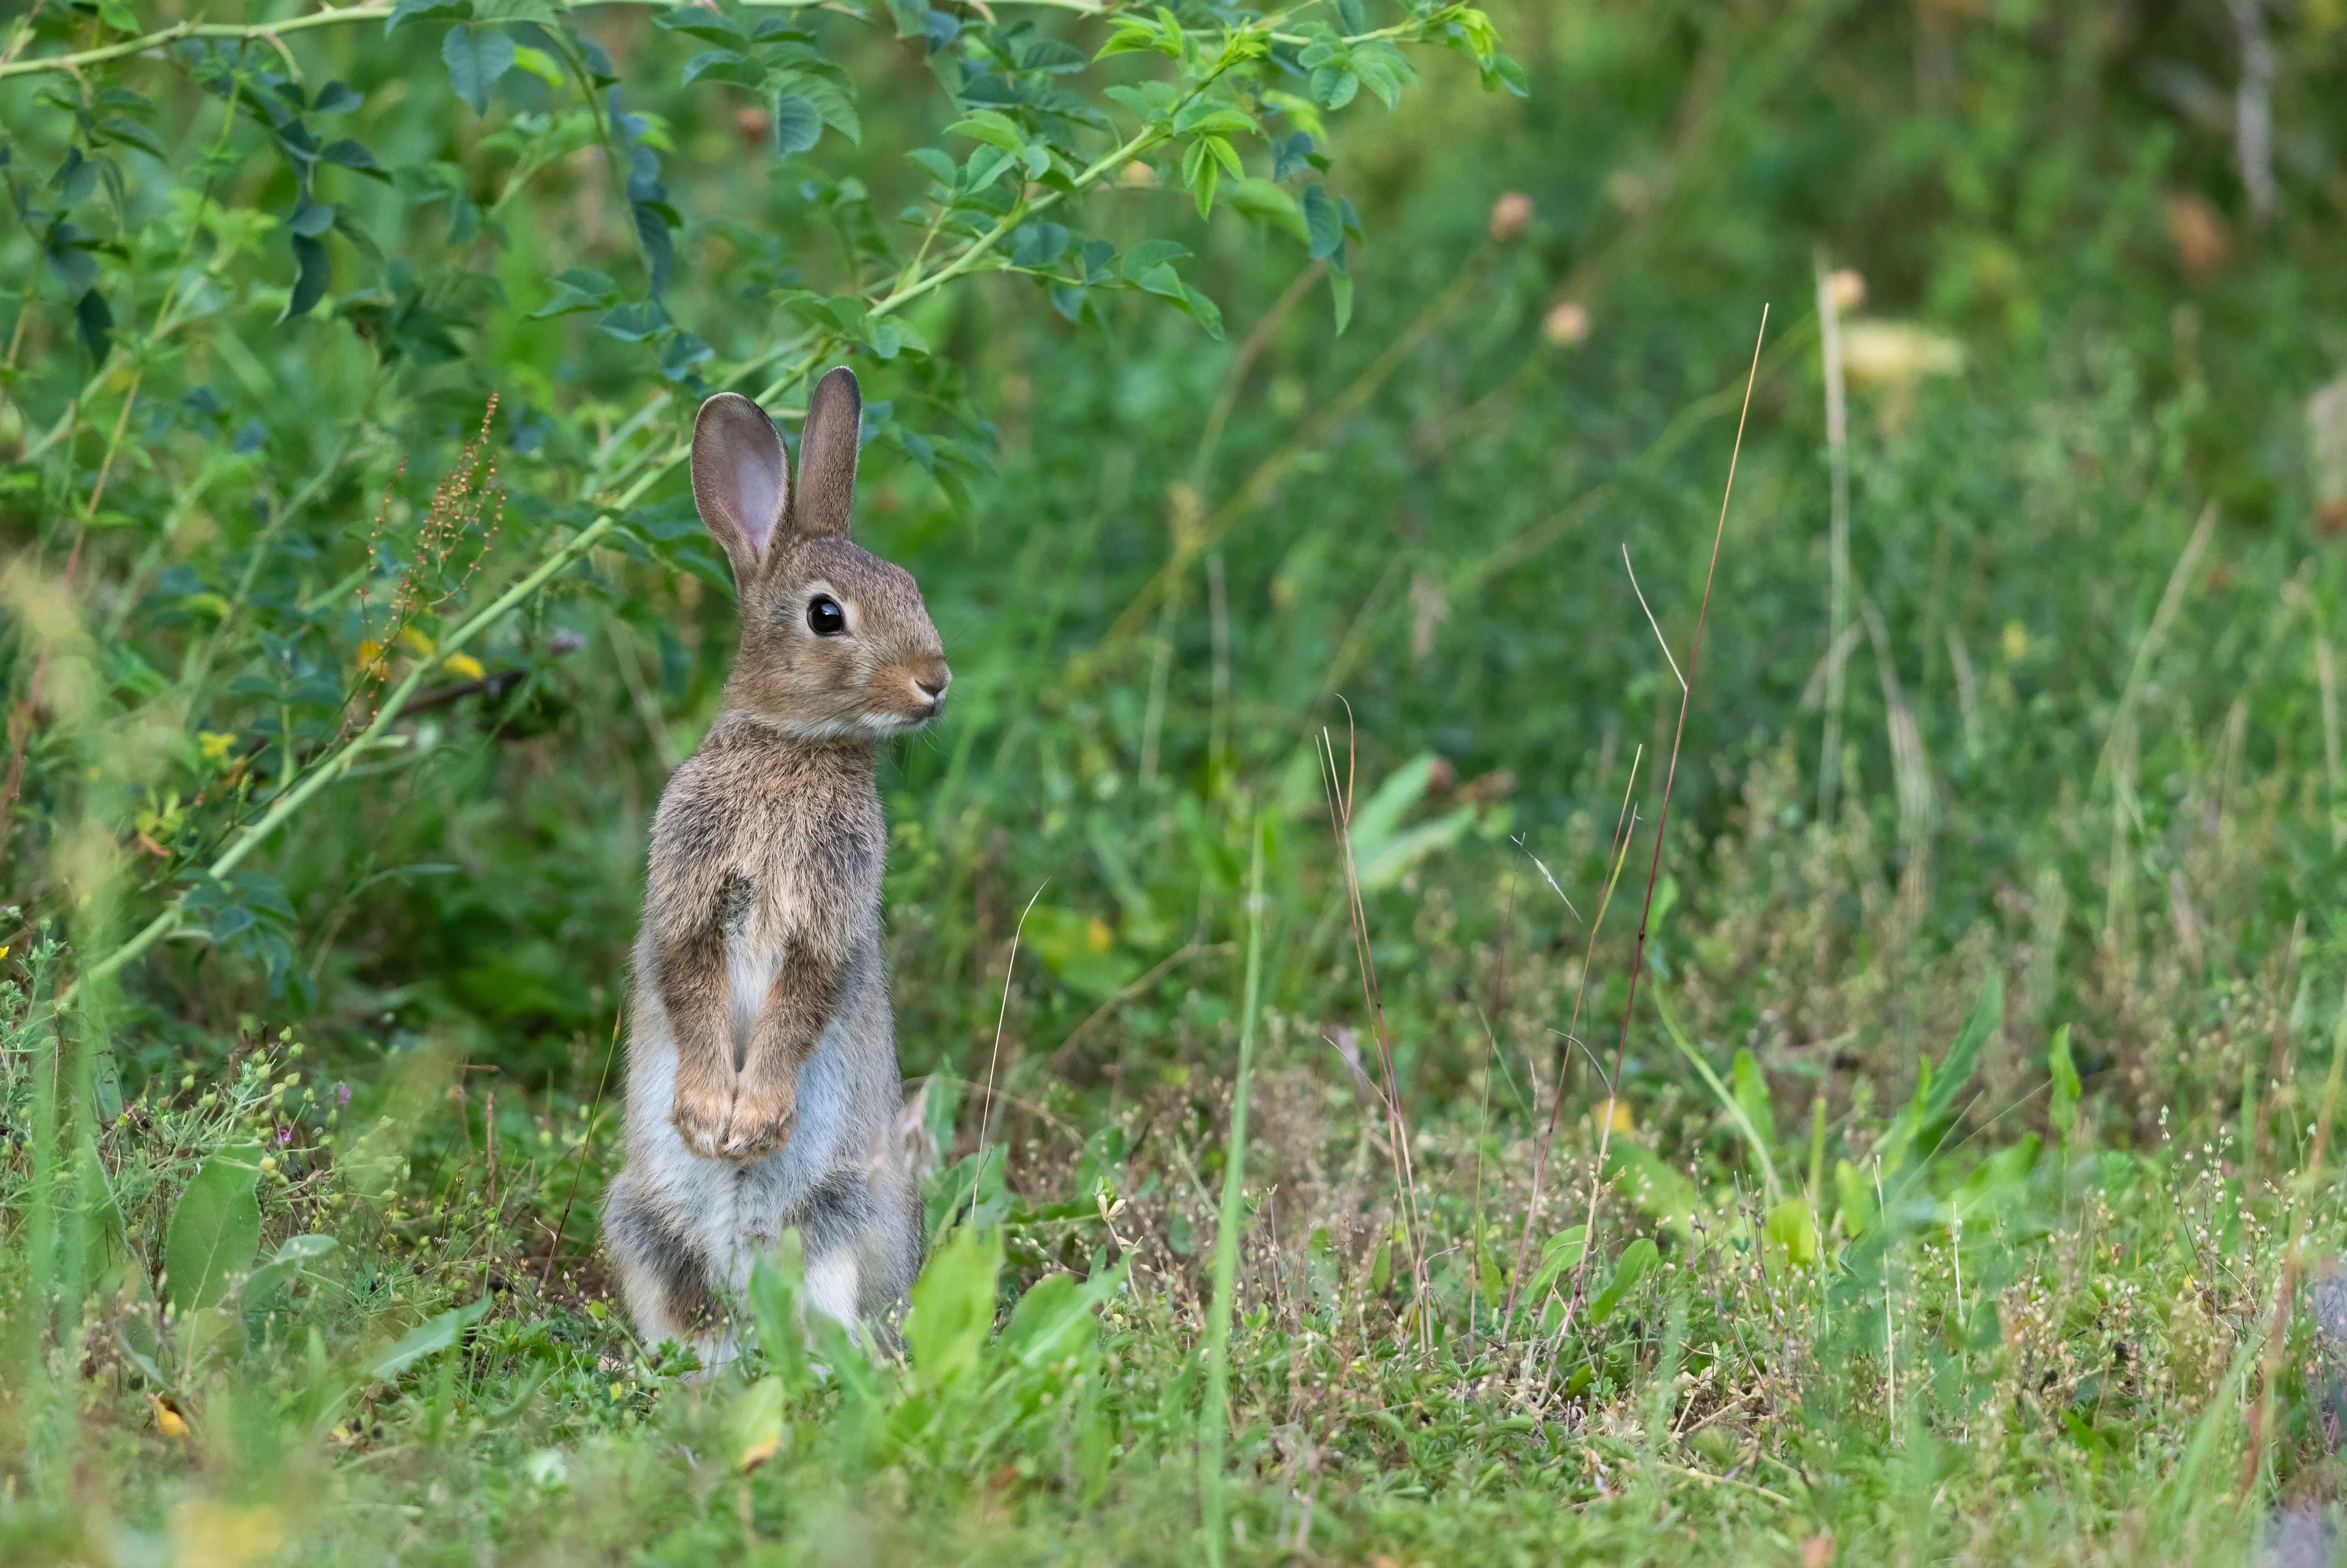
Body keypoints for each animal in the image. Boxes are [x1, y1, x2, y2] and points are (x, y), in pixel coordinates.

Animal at [601, 366, 950, 1362]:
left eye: (912, 586)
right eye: (827, 615)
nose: (936, 681)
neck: (792, 747)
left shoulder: (827, 921)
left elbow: (802, 1005)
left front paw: (749, 1121)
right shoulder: (686, 894)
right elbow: (688, 985)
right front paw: (705, 1117)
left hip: (840, 1216)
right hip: (637, 1222)